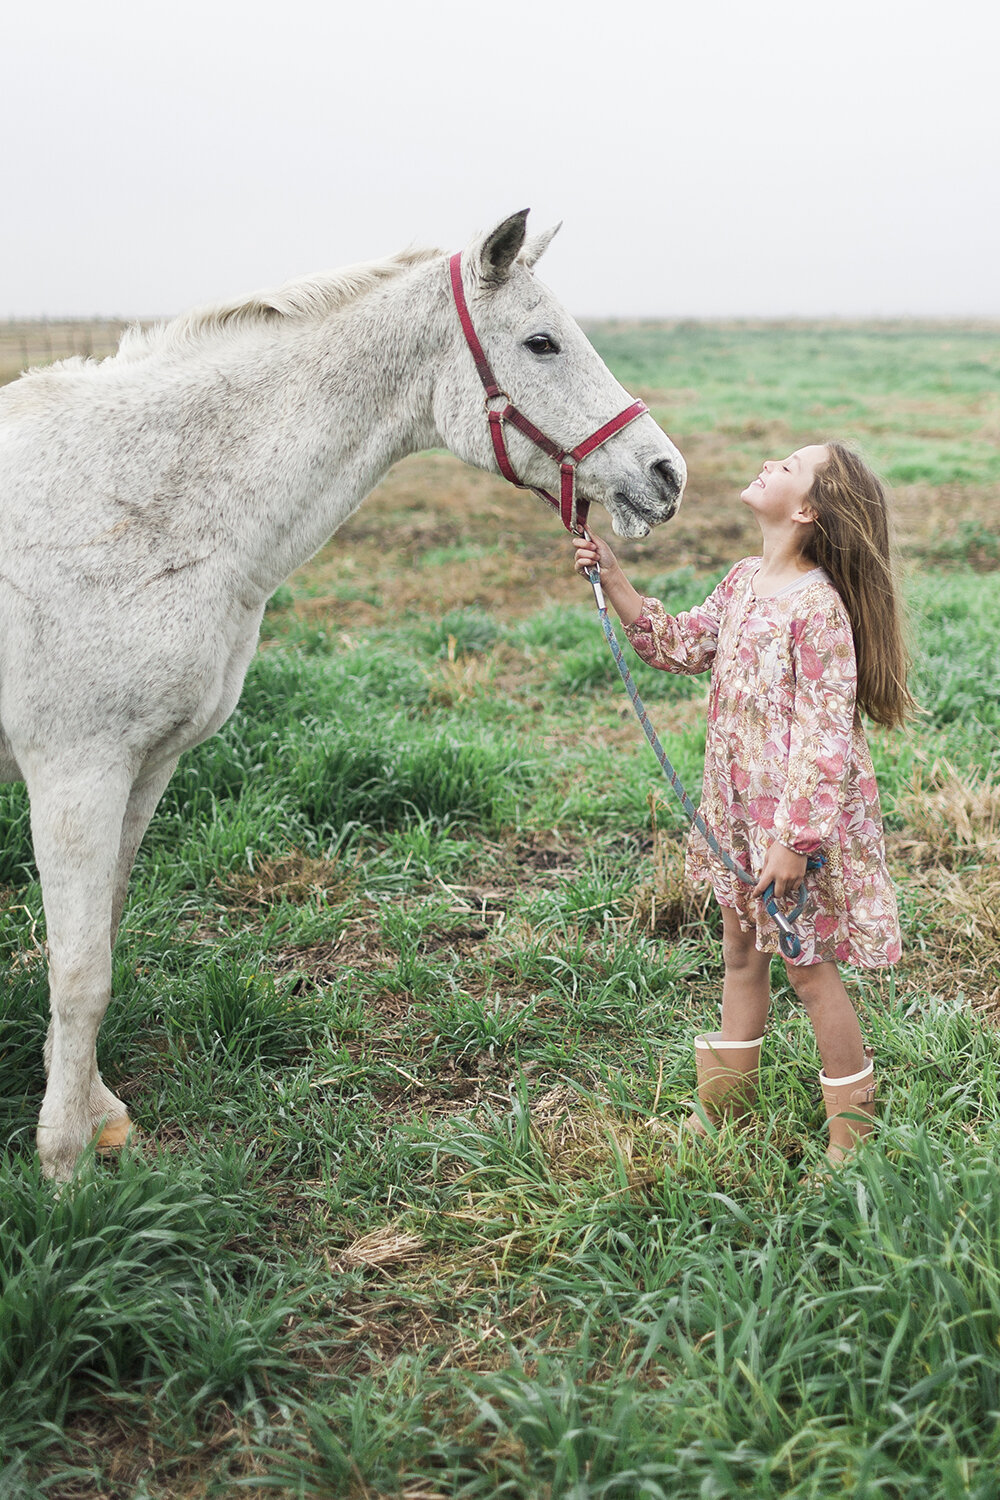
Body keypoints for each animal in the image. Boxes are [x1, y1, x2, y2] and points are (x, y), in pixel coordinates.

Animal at [0, 211, 689, 1176]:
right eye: (541, 342)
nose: (666, 475)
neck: (134, 506)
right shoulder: (75, 770)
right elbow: (78, 969)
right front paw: (64, 1162)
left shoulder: (142, 768)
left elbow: (101, 931)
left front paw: (96, 1115)